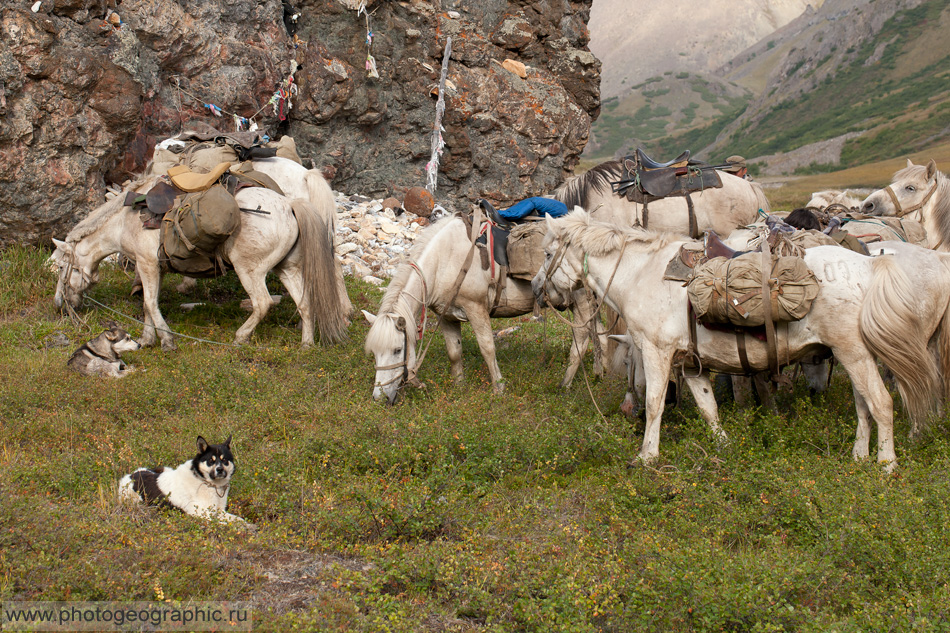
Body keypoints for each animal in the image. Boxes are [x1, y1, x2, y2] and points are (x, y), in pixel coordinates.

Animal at [52, 175, 350, 348]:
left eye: (61, 268)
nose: (59, 305)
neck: (125, 221)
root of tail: (290, 206)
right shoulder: (154, 268)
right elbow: (149, 303)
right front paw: (147, 339)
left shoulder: (147, 264)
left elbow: (149, 303)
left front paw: (167, 340)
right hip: (286, 269)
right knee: (304, 303)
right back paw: (306, 345)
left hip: (250, 271)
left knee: (262, 303)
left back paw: (240, 338)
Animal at [119, 434, 251, 524]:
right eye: (210, 461)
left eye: (224, 460)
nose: (219, 470)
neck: (205, 482)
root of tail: (131, 475)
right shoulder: (202, 515)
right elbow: (225, 524)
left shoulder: (218, 512)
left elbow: (239, 520)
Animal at [364, 215, 604, 402]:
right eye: (374, 353)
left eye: (397, 350)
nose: (379, 398)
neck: (445, 261)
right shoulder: (447, 317)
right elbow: (454, 352)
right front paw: (459, 386)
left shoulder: (476, 309)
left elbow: (487, 348)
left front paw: (499, 388)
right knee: (600, 336)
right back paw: (600, 376)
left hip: (581, 303)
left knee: (581, 342)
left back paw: (565, 385)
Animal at [532, 212, 950, 470]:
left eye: (549, 253)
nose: (537, 289)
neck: (641, 273)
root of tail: (870, 264)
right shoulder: (691, 364)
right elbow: (709, 409)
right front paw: (725, 449)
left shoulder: (657, 352)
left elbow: (653, 404)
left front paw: (647, 456)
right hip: (851, 355)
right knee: (864, 406)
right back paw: (859, 456)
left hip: (855, 354)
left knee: (881, 403)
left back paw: (886, 464)